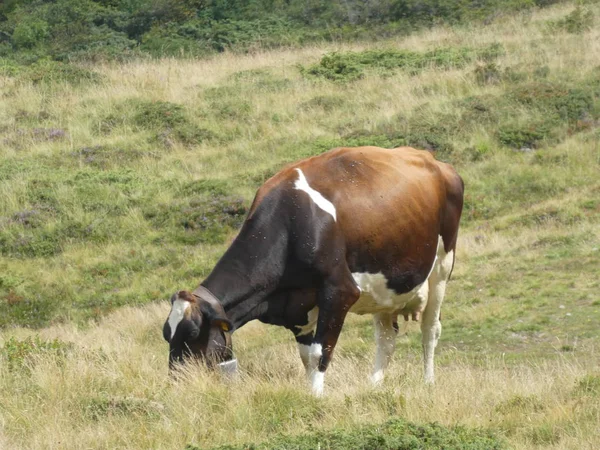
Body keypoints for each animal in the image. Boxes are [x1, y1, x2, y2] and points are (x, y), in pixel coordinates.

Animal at [163, 146, 464, 396]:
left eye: (192, 333)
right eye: (167, 334)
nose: (177, 382)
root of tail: (433, 160)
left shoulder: (339, 291)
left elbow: (321, 352)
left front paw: (317, 399)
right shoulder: (299, 306)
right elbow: (307, 356)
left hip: (441, 266)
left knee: (430, 329)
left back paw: (428, 382)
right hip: (385, 287)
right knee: (387, 339)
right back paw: (374, 387)